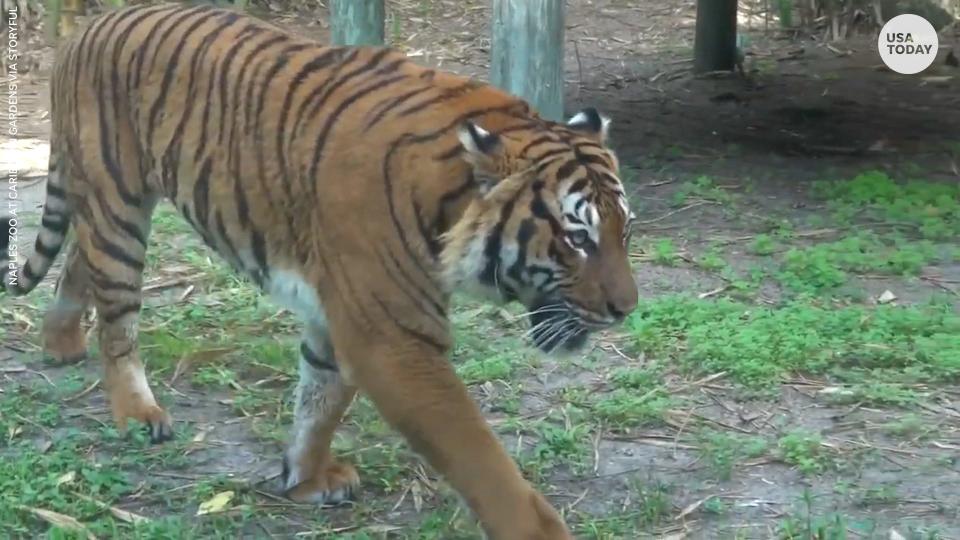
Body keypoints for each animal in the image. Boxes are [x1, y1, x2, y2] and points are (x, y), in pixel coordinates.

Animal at [3, 3, 640, 536]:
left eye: (624, 231)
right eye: (577, 239)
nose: (626, 309)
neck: (448, 199)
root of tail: (89, 26)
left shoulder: (339, 314)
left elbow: (321, 397)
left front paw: (304, 477)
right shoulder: (393, 338)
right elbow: (483, 461)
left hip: (114, 208)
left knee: (79, 263)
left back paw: (61, 342)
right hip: (119, 205)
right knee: (117, 318)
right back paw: (136, 412)